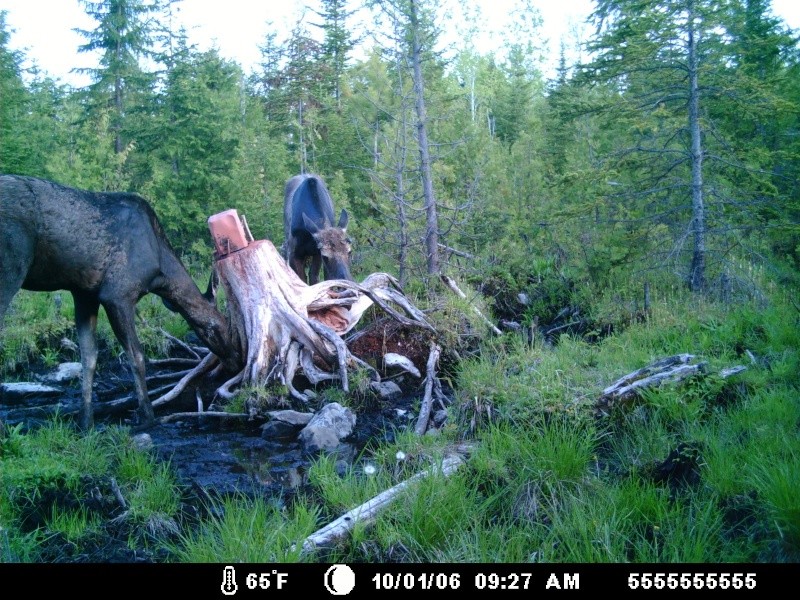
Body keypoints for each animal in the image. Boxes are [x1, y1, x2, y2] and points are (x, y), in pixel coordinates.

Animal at [0, 175, 241, 432]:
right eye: (218, 327)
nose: (235, 360)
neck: (160, 272)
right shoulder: (118, 295)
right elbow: (136, 356)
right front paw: (146, 417)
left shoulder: (84, 294)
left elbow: (89, 357)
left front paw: (85, 421)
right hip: (12, 268)